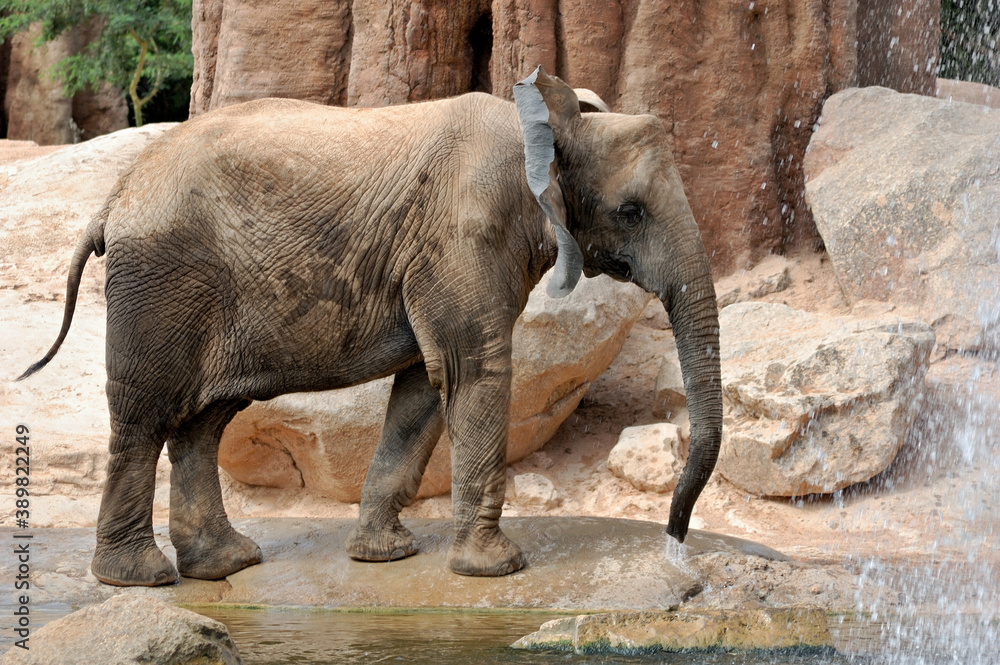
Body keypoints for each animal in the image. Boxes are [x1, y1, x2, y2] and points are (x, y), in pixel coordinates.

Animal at [19, 67, 722, 587]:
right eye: (631, 212)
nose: (675, 544)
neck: (550, 120)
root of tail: (114, 197)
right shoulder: (464, 235)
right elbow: (474, 370)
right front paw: (497, 569)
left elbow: (424, 387)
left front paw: (385, 556)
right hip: (162, 279)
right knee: (146, 416)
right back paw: (137, 578)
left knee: (203, 422)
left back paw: (225, 565)